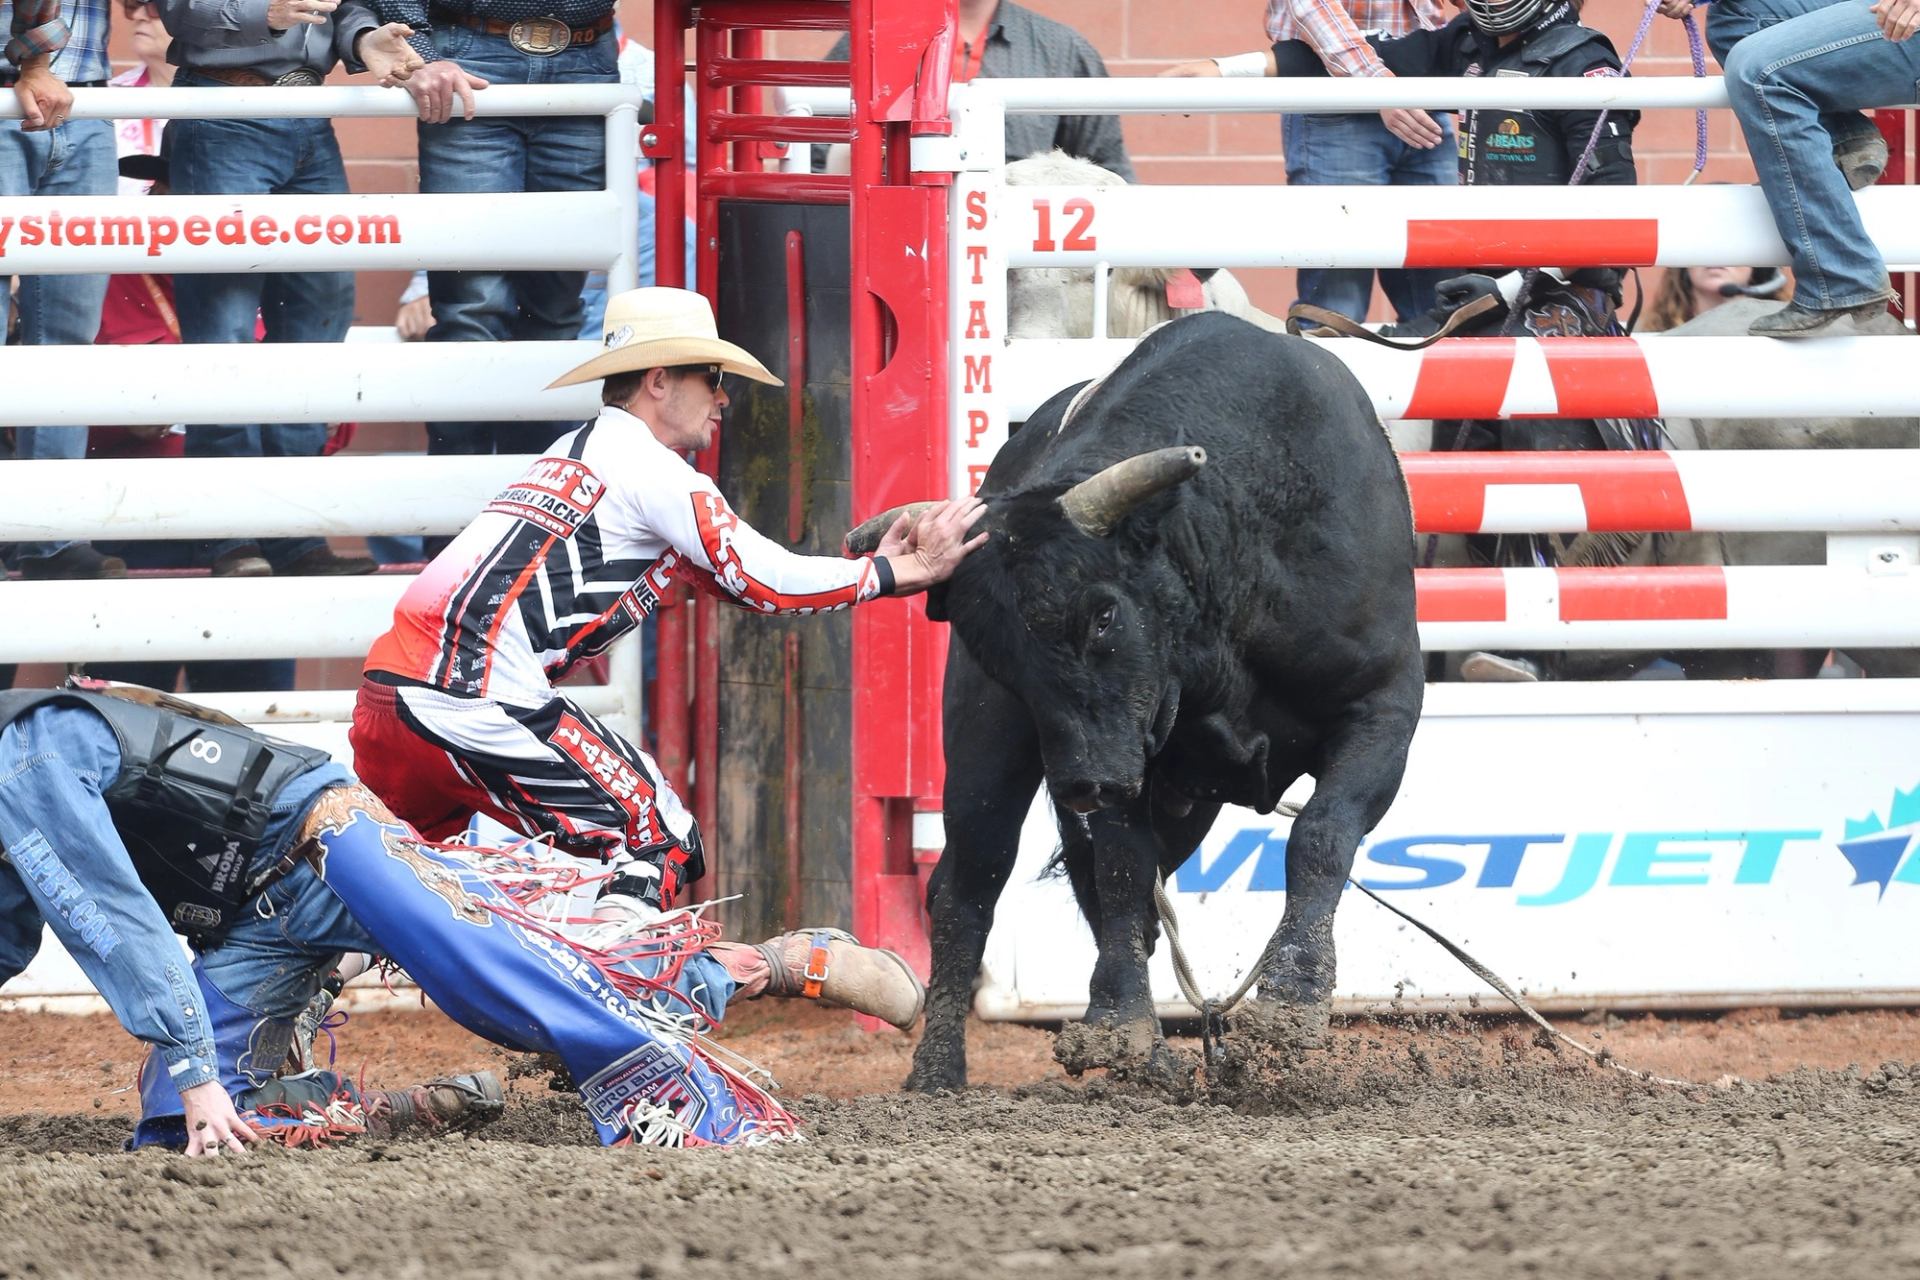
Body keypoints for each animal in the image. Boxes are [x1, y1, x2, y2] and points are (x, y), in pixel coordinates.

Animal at [849, 312, 1425, 1090]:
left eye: (1102, 615)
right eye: (997, 652)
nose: (1081, 784)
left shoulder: (1383, 707)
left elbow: (1322, 834)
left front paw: (1291, 997)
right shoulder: (1118, 746)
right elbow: (1122, 868)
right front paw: (1118, 1022)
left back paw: (1154, 1061)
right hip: (987, 750)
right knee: (968, 887)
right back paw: (941, 1070)